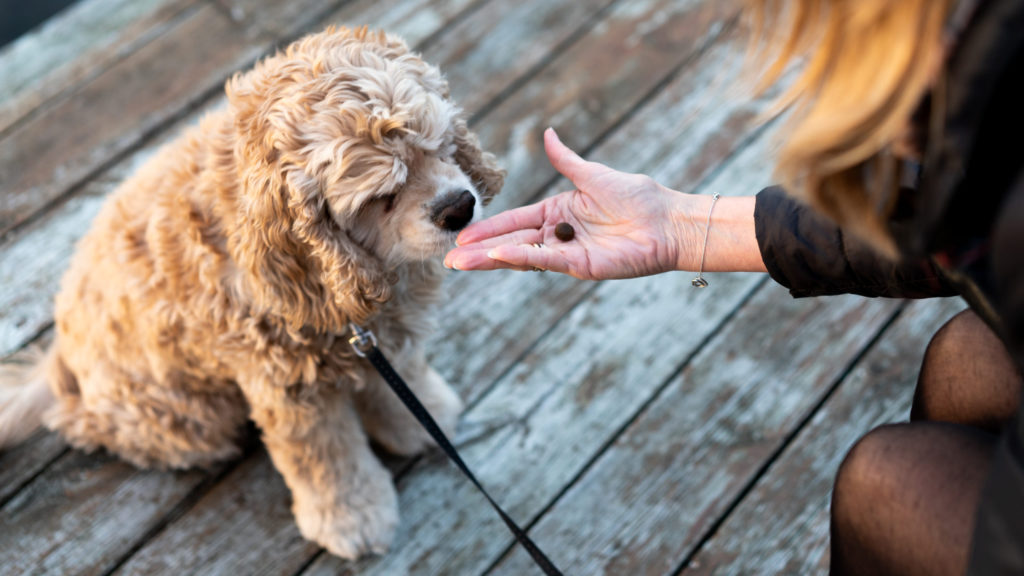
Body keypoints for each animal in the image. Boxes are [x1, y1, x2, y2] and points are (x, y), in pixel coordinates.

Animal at [0, 25, 503, 557]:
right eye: (382, 197)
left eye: (440, 145)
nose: (459, 207)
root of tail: (59, 354)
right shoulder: (289, 386)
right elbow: (326, 460)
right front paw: (355, 519)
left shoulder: (382, 337)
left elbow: (399, 385)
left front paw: (426, 417)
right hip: (188, 419)